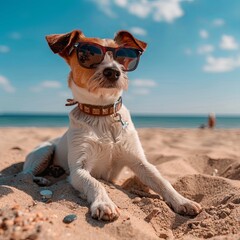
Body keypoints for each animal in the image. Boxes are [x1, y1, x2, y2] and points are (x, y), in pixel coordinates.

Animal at [23, 29, 202, 221]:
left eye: (123, 57)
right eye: (87, 55)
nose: (113, 72)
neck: (102, 113)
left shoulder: (139, 161)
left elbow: (162, 181)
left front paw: (182, 201)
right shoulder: (79, 169)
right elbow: (95, 183)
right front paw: (104, 203)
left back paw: (54, 171)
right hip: (44, 150)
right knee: (25, 174)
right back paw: (41, 179)